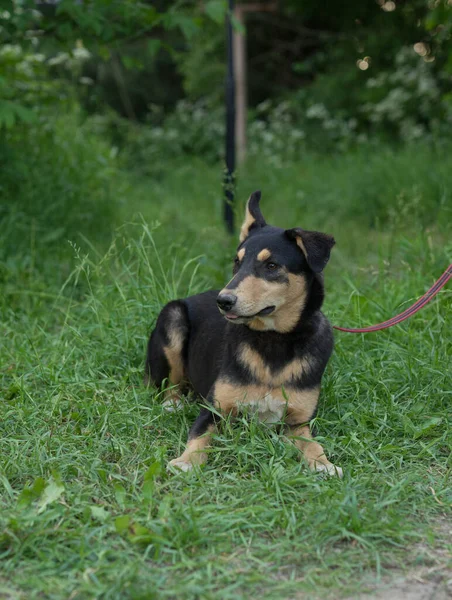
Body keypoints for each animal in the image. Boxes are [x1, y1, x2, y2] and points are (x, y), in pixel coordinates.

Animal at [146, 192, 342, 478]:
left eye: (271, 265)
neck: (274, 340)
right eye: (237, 262)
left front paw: (323, 464)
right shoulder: (214, 410)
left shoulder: (297, 422)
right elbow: (199, 437)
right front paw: (186, 460)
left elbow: (312, 444)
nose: (223, 301)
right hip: (173, 317)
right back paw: (173, 403)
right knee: (170, 384)